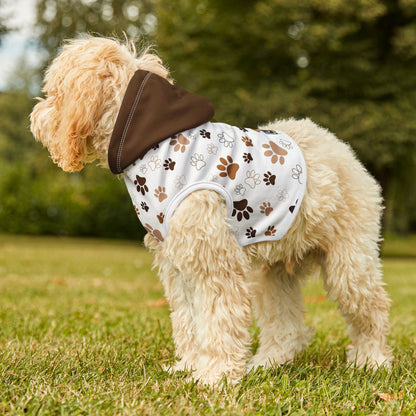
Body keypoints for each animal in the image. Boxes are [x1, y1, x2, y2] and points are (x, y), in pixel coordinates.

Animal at [30, 37, 394, 386]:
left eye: (55, 92)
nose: (35, 117)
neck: (152, 144)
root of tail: (341, 148)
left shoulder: (214, 261)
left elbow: (218, 319)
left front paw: (215, 375)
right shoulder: (177, 263)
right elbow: (188, 320)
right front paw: (191, 366)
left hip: (349, 262)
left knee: (372, 309)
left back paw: (372, 360)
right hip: (273, 273)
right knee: (287, 326)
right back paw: (268, 362)